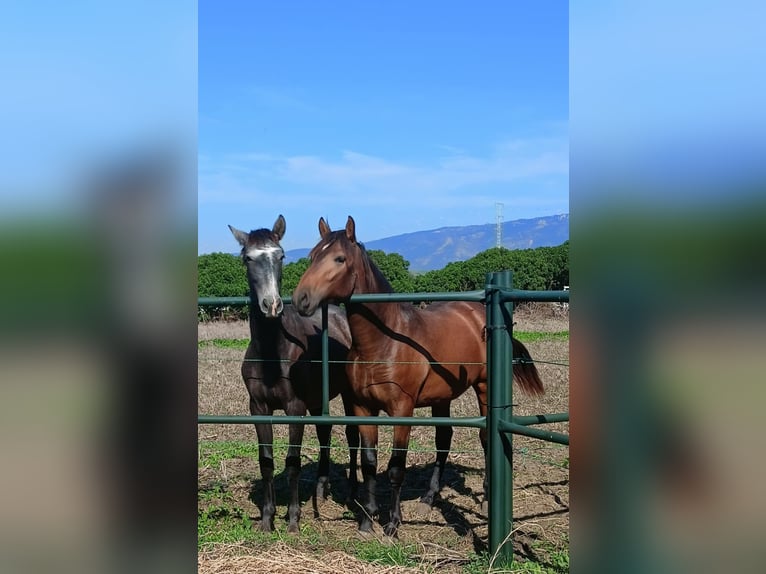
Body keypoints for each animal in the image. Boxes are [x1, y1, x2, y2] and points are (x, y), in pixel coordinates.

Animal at [228, 216, 360, 536]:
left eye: (281, 256)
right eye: (247, 258)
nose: (272, 305)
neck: (272, 355)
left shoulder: (294, 407)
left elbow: (292, 462)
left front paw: (293, 520)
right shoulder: (258, 407)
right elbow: (266, 462)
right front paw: (267, 519)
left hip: (346, 395)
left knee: (352, 435)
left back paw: (352, 492)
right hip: (318, 399)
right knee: (325, 432)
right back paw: (321, 490)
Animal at [292, 217, 544, 540]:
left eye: (339, 259)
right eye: (312, 256)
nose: (301, 298)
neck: (383, 343)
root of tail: (478, 312)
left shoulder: (402, 410)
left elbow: (396, 467)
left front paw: (392, 524)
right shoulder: (363, 408)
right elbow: (369, 463)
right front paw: (366, 522)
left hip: (484, 388)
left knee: (486, 439)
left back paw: (487, 499)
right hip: (442, 397)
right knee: (443, 440)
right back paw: (428, 498)